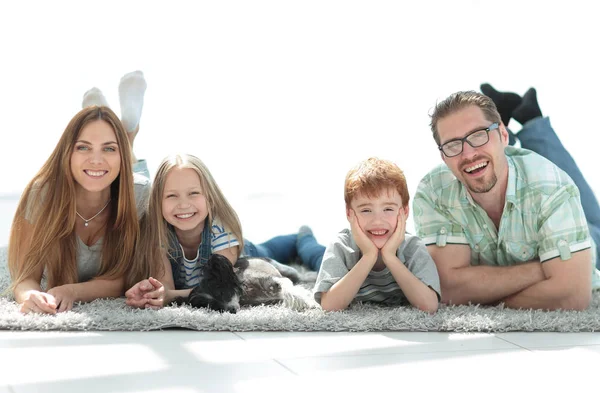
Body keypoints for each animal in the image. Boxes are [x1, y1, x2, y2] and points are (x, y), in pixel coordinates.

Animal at [173, 254, 318, 312]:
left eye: (222, 293)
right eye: (211, 306)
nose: (231, 310)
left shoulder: (278, 281)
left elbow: (292, 291)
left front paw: (310, 303)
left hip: (286, 270)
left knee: (301, 276)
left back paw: (314, 276)